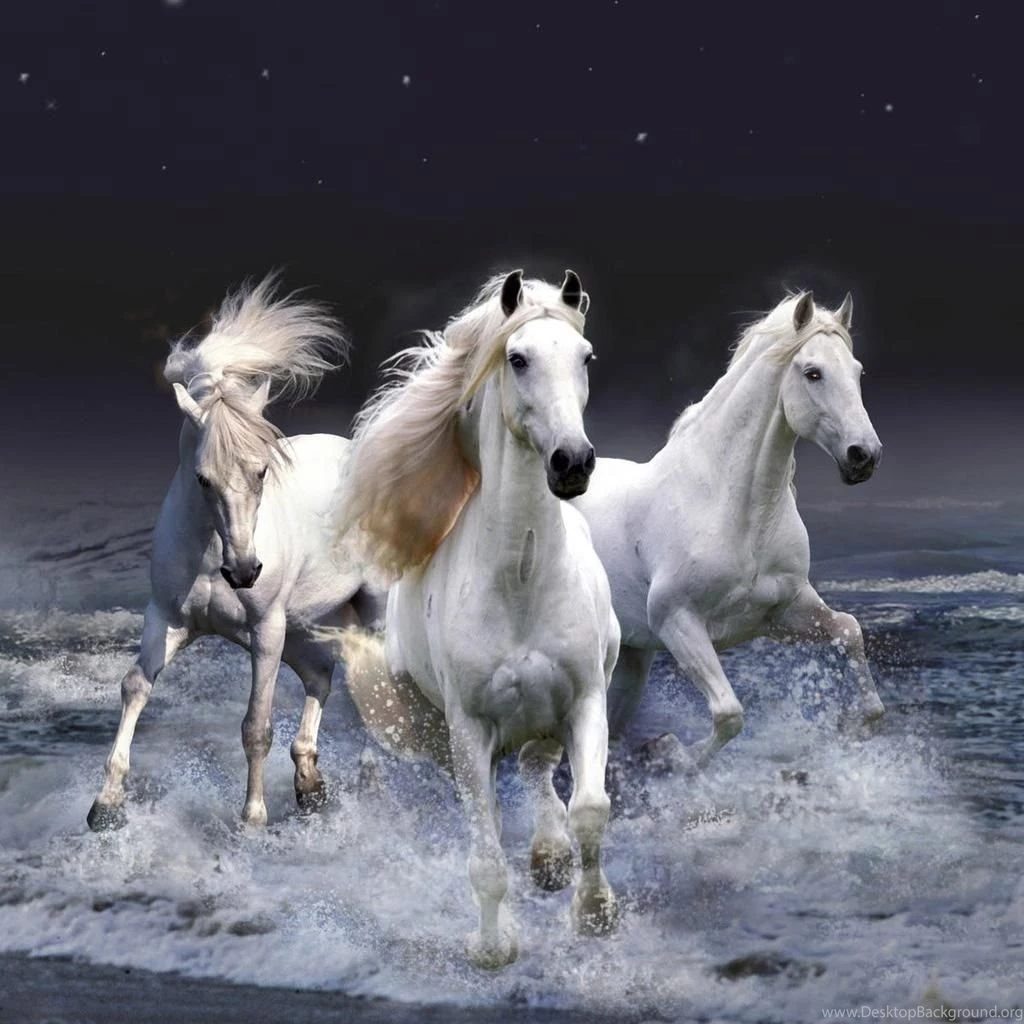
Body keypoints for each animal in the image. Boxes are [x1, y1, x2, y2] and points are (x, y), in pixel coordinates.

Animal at [88, 274, 385, 832]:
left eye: (262, 471)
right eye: (203, 478)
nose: (244, 571)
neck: (210, 554)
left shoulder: (265, 630)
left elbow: (256, 725)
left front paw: (252, 821)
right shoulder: (168, 619)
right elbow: (135, 686)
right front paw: (105, 806)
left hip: (366, 612)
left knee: (377, 686)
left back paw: (368, 780)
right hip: (304, 625)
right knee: (321, 675)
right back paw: (310, 785)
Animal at [334, 270, 621, 968]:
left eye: (586, 357)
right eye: (517, 359)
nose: (572, 462)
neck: (521, 579)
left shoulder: (585, 699)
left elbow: (590, 809)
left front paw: (595, 913)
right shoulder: (468, 730)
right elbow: (486, 855)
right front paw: (494, 948)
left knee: (540, 768)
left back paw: (550, 858)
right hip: (443, 731)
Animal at [572, 291, 885, 772]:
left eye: (857, 371)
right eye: (813, 373)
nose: (864, 455)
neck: (734, 511)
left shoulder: (782, 613)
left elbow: (849, 631)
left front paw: (853, 726)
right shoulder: (678, 622)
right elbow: (729, 713)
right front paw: (670, 753)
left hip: (631, 659)